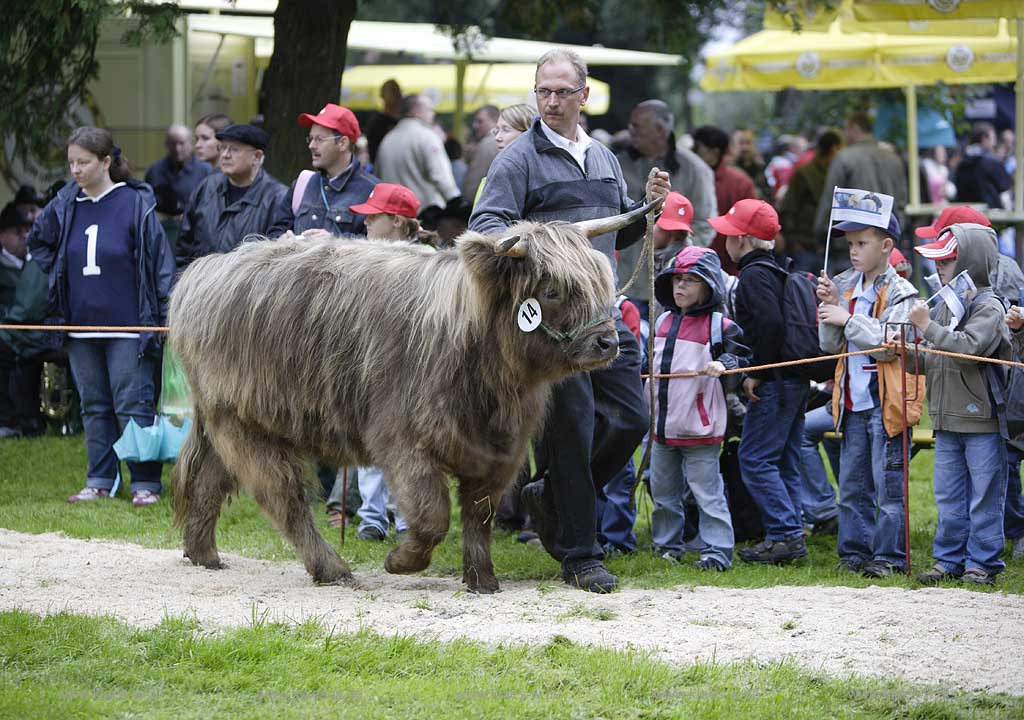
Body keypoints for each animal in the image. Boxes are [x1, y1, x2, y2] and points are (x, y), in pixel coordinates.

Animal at [167, 199, 655, 594]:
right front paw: (401, 561)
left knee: (210, 482)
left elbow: (478, 515)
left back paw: (203, 555)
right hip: (246, 423)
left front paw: (482, 580)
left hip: (234, 419)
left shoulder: (502, 451)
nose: (609, 343)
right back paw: (332, 569)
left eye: (600, 285)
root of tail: (204, 269)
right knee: (283, 498)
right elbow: (432, 514)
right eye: (552, 290)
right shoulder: (404, 444)